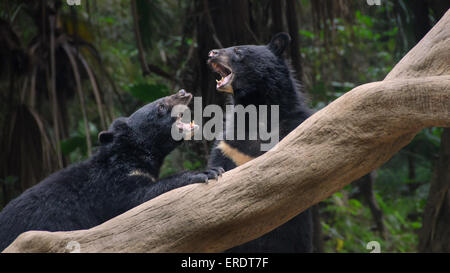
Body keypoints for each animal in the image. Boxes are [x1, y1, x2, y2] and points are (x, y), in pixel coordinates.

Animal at [0, 90, 224, 251]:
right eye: (160, 106)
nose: (184, 92)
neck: (131, 157)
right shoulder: (109, 190)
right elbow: (138, 199)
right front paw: (207, 172)